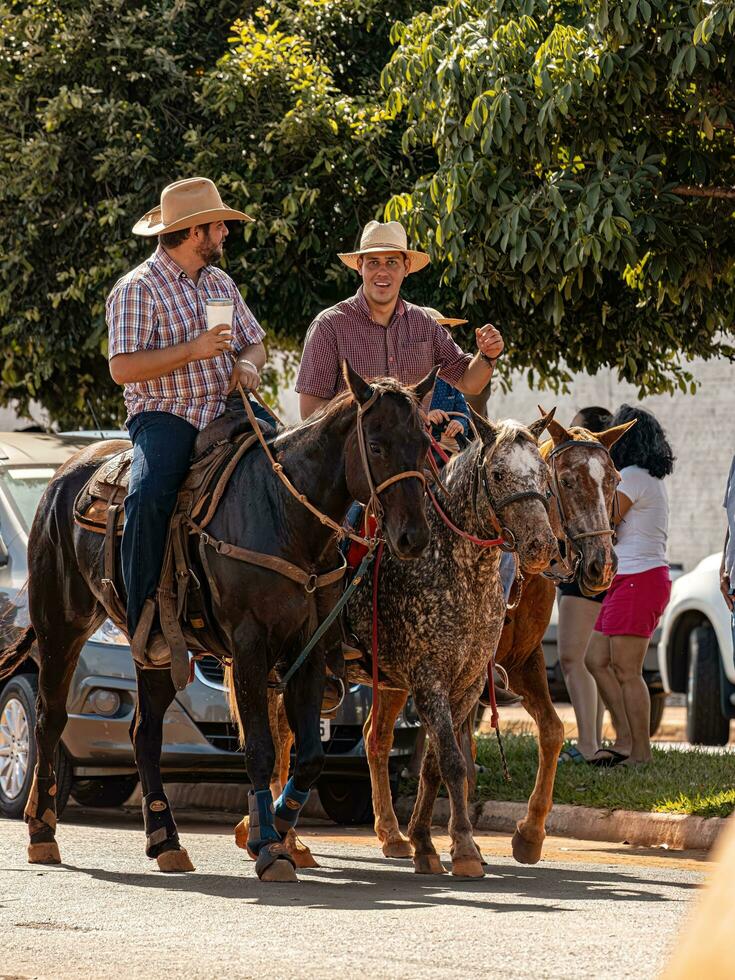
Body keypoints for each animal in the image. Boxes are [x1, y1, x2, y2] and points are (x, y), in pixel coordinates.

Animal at [0, 364, 436, 884]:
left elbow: (310, 756)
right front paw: (268, 845)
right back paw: (42, 832)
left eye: (424, 442)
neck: (284, 515)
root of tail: (64, 476)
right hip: (61, 626)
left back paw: (165, 839)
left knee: (144, 733)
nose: (413, 537)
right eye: (376, 445)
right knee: (49, 719)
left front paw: (273, 830)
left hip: (154, 648)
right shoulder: (250, 646)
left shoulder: (308, 648)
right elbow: (262, 749)